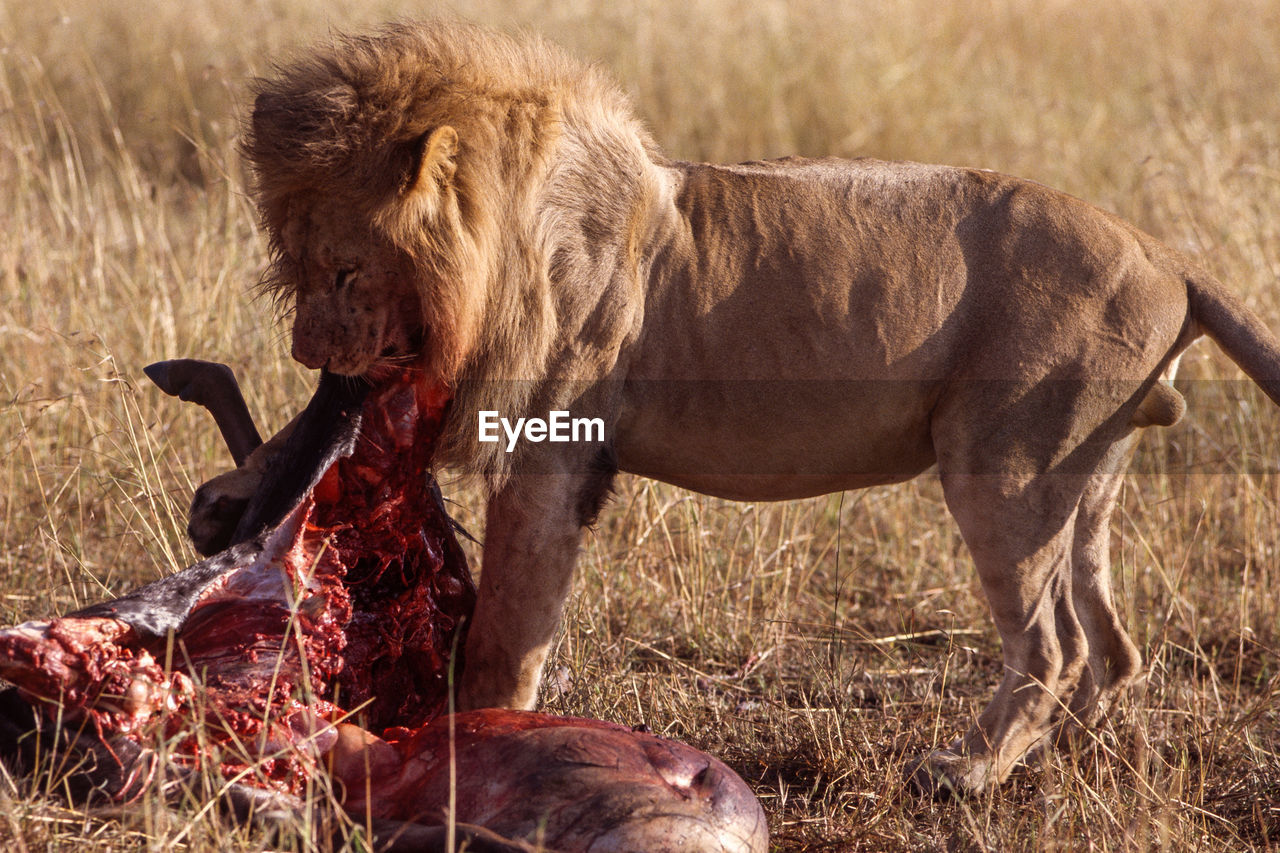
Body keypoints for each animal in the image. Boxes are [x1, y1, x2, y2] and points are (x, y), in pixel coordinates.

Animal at [192, 18, 1280, 788]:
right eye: (292, 271)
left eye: (345, 271)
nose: (305, 349)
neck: (494, 244)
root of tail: (1168, 257)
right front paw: (227, 498)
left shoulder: (549, 447)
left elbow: (508, 629)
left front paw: (476, 737)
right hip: (1082, 477)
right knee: (1113, 641)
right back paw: (1059, 753)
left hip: (1004, 463)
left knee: (1053, 641)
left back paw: (968, 770)